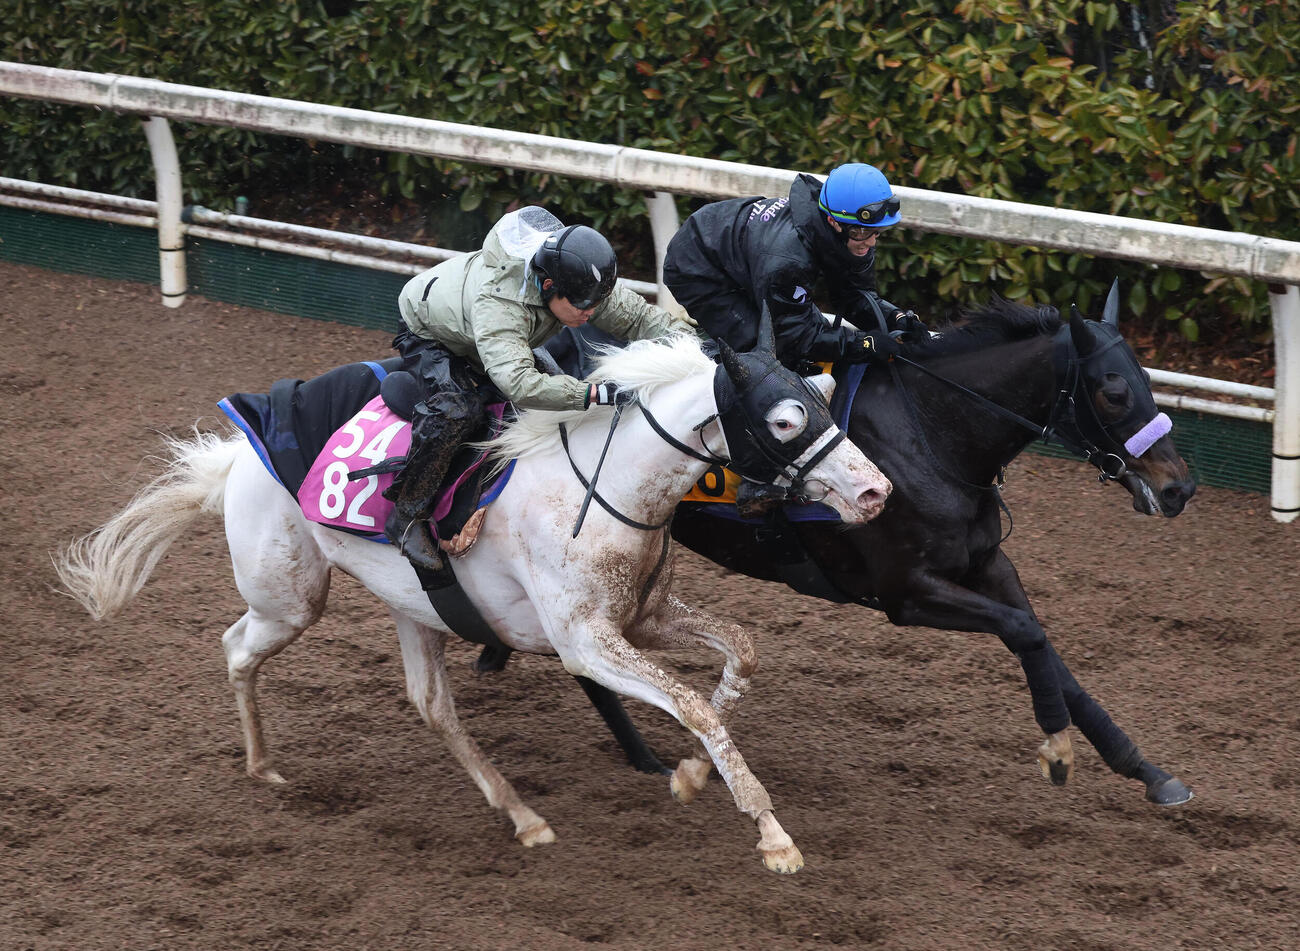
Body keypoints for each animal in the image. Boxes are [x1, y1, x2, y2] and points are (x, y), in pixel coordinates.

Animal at [55, 326, 892, 874]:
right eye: (786, 419)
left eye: (823, 396)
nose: (875, 491)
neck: (608, 485)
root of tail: (238, 457)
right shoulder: (586, 642)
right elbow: (695, 706)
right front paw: (769, 831)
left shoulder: (642, 617)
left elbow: (739, 654)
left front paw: (691, 771)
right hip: (290, 598)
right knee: (237, 648)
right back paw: (263, 765)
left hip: (414, 608)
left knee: (432, 705)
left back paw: (522, 815)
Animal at [536, 284, 1199, 806]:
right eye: (1113, 391)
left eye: (1146, 379)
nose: (1179, 487)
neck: (930, 433)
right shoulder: (905, 593)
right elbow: (1024, 632)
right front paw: (1058, 751)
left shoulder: (988, 564)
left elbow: (1043, 646)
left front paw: (1145, 769)